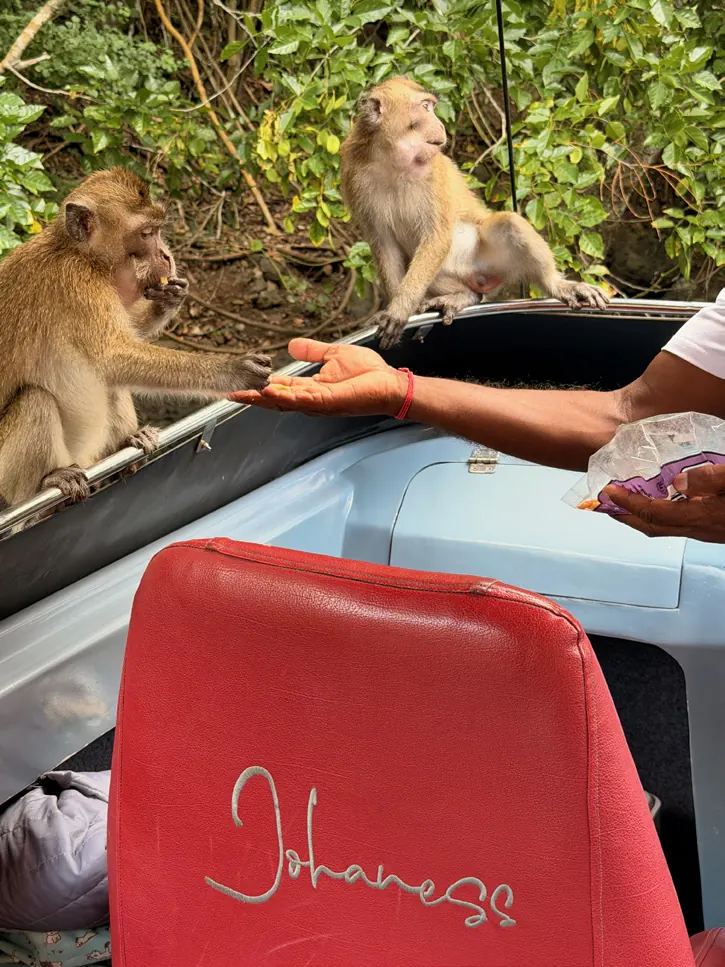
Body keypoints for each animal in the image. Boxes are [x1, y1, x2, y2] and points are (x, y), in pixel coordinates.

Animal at [0, 167, 271, 510]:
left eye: (158, 230)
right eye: (145, 234)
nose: (167, 256)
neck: (80, 254)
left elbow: (125, 344)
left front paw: (166, 300)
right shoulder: (78, 284)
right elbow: (113, 356)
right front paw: (231, 370)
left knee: (112, 386)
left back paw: (125, 445)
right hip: (10, 478)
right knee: (36, 400)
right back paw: (47, 483)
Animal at [340, 76, 610, 350]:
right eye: (425, 107)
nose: (440, 125)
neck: (394, 162)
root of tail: (482, 279)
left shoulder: (434, 174)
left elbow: (437, 237)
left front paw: (400, 309)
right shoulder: (354, 176)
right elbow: (384, 244)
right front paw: (395, 310)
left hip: (492, 261)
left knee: (509, 224)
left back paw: (556, 284)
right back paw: (466, 296)